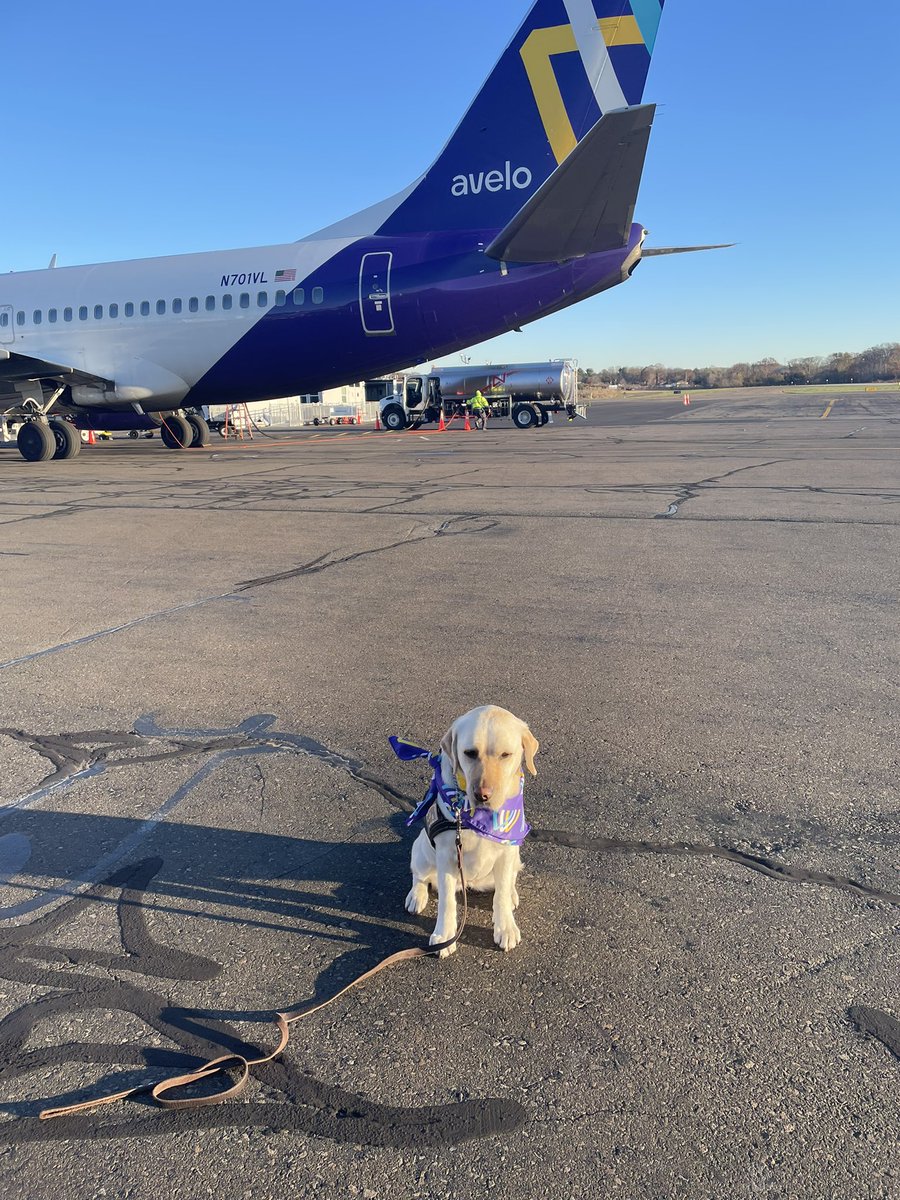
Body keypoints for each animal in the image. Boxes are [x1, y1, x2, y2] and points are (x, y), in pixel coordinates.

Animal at [405, 700, 540, 955]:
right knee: (419, 876)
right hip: (420, 850)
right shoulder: (447, 855)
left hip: (514, 855)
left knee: (507, 881)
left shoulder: (507, 850)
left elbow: (501, 895)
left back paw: (512, 893)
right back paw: (416, 896)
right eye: (470, 753)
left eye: (506, 755)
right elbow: (447, 902)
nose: (482, 795)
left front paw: (505, 927)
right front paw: (444, 935)